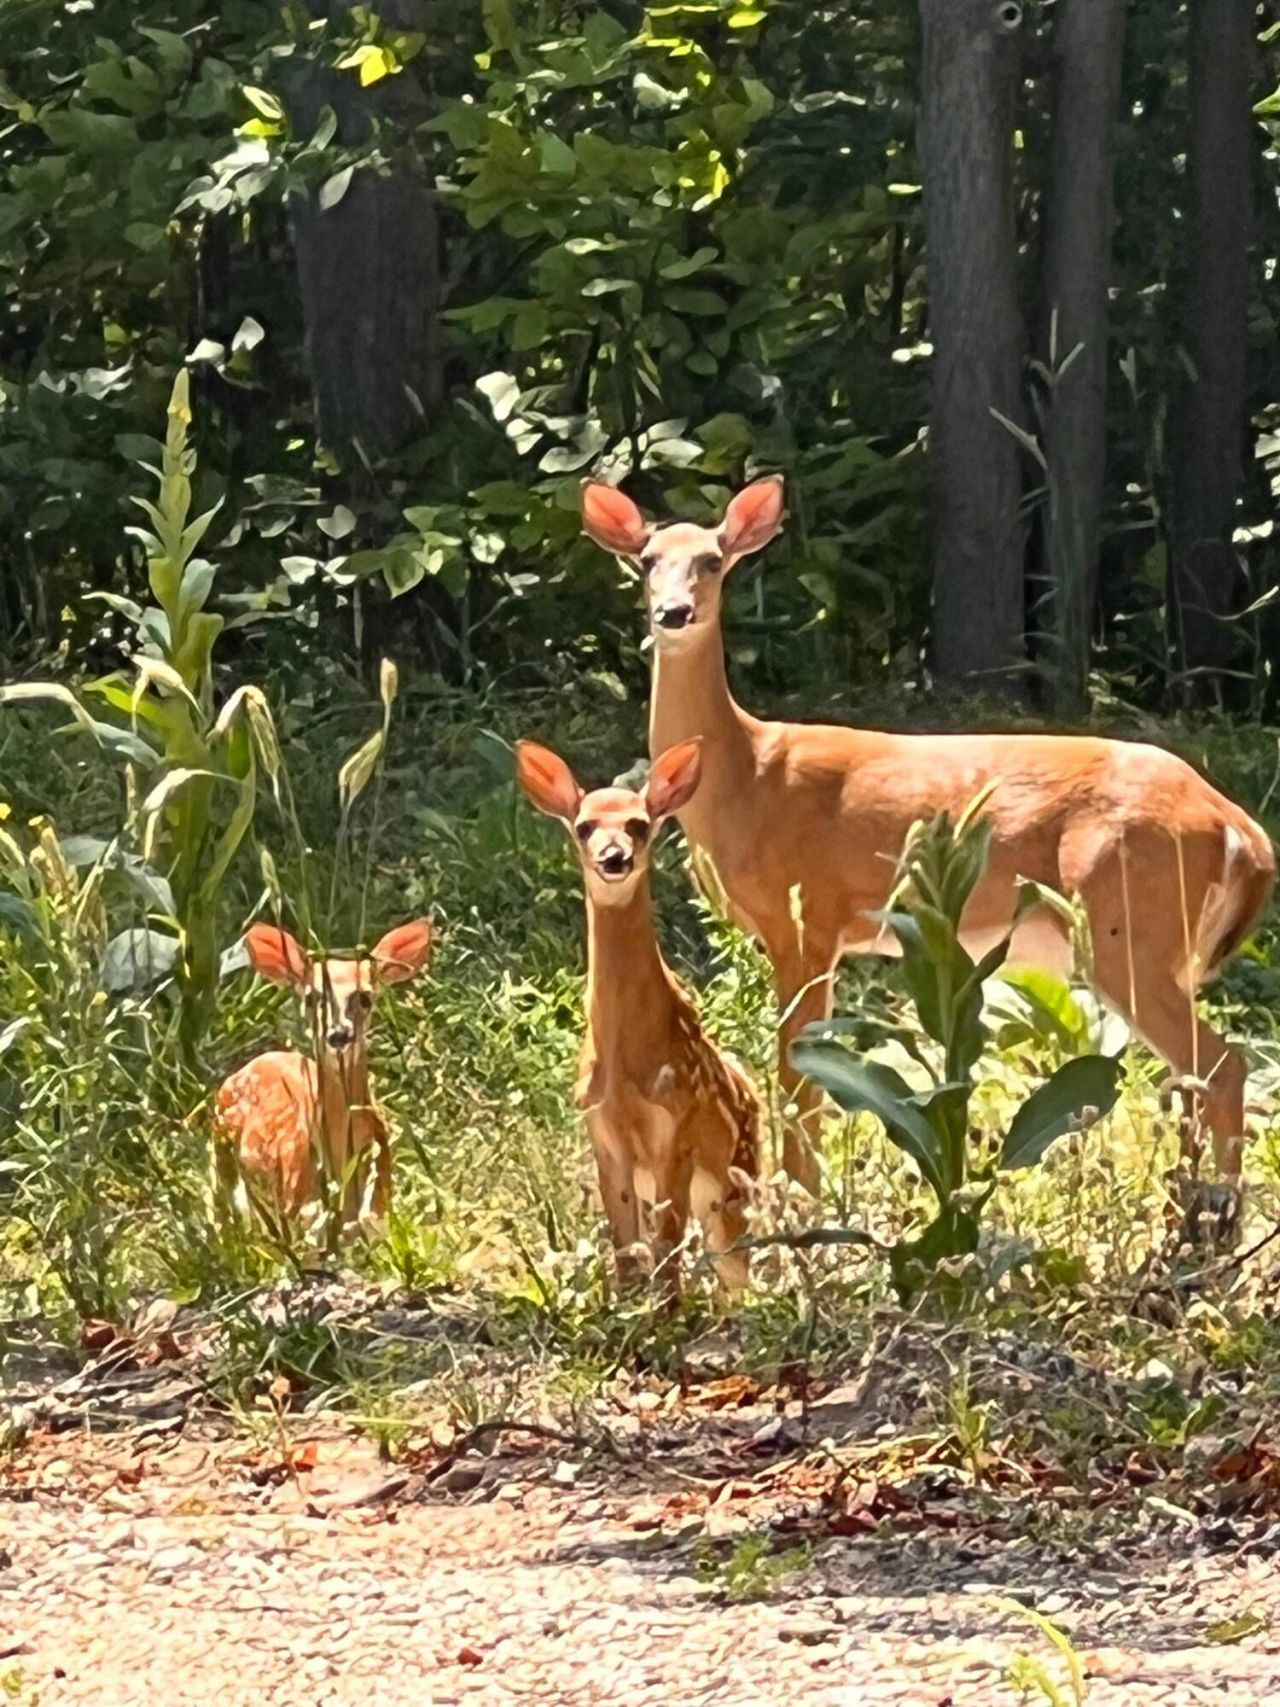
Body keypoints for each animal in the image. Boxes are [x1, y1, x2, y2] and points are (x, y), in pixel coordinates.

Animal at [515, 735, 759, 1297]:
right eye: (584, 826)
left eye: (639, 824)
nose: (614, 857)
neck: (625, 1063)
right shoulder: (602, 1133)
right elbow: (626, 1244)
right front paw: (627, 1308)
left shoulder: (677, 1128)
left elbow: (667, 1247)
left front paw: (665, 1312)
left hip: (736, 1179)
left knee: (741, 1262)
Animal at [579, 474, 1275, 1211]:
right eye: (647, 560)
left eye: (712, 560)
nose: (674, 613)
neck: (746, 775)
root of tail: (1241, 828)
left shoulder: (808, 918)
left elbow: (800, 1078)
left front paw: (800, 1202)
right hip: (1168, 945)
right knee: (1194, 1079)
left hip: (1128, 923)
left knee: (1223, 1066)